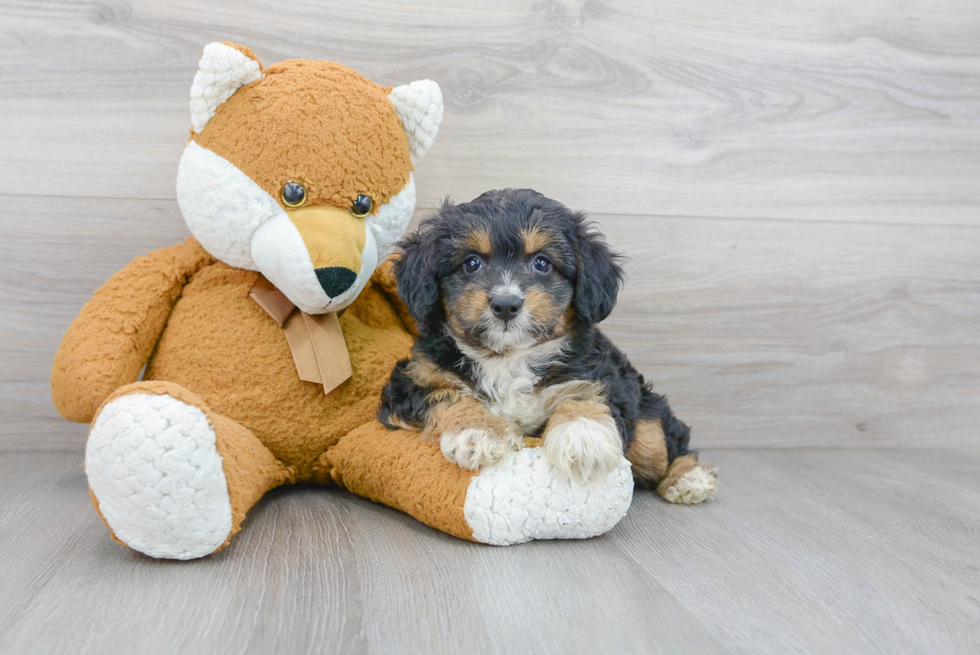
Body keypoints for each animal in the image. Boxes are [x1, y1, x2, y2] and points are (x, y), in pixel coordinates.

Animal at [378, 187, 716, 504]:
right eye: (471, 263)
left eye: (542, 263)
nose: (506, 305)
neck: (508, 357)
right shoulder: (413, 379)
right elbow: (446, 394)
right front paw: (477, 432)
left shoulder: (597, 372)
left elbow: (584, 393)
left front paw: (583, 436)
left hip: (646, 421)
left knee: (662, 444)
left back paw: (689, 477)